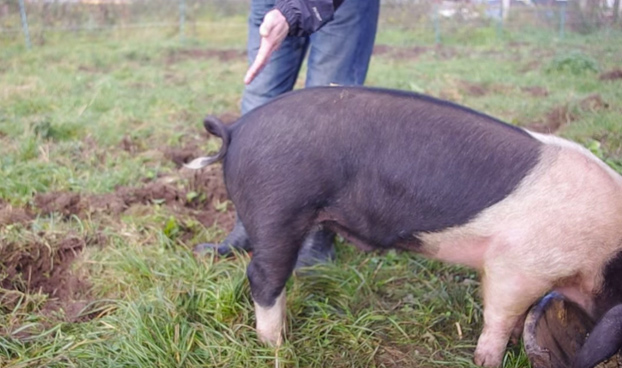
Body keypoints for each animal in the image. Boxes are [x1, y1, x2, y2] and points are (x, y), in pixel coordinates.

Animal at [188, 87, 622, 368]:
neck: (599, 259)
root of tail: (236, 129)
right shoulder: (518, 265)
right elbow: (498, 315)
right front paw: (487, 361)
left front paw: (516, 341)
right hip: (278, 208)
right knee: (264, 276)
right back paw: (277, 348)